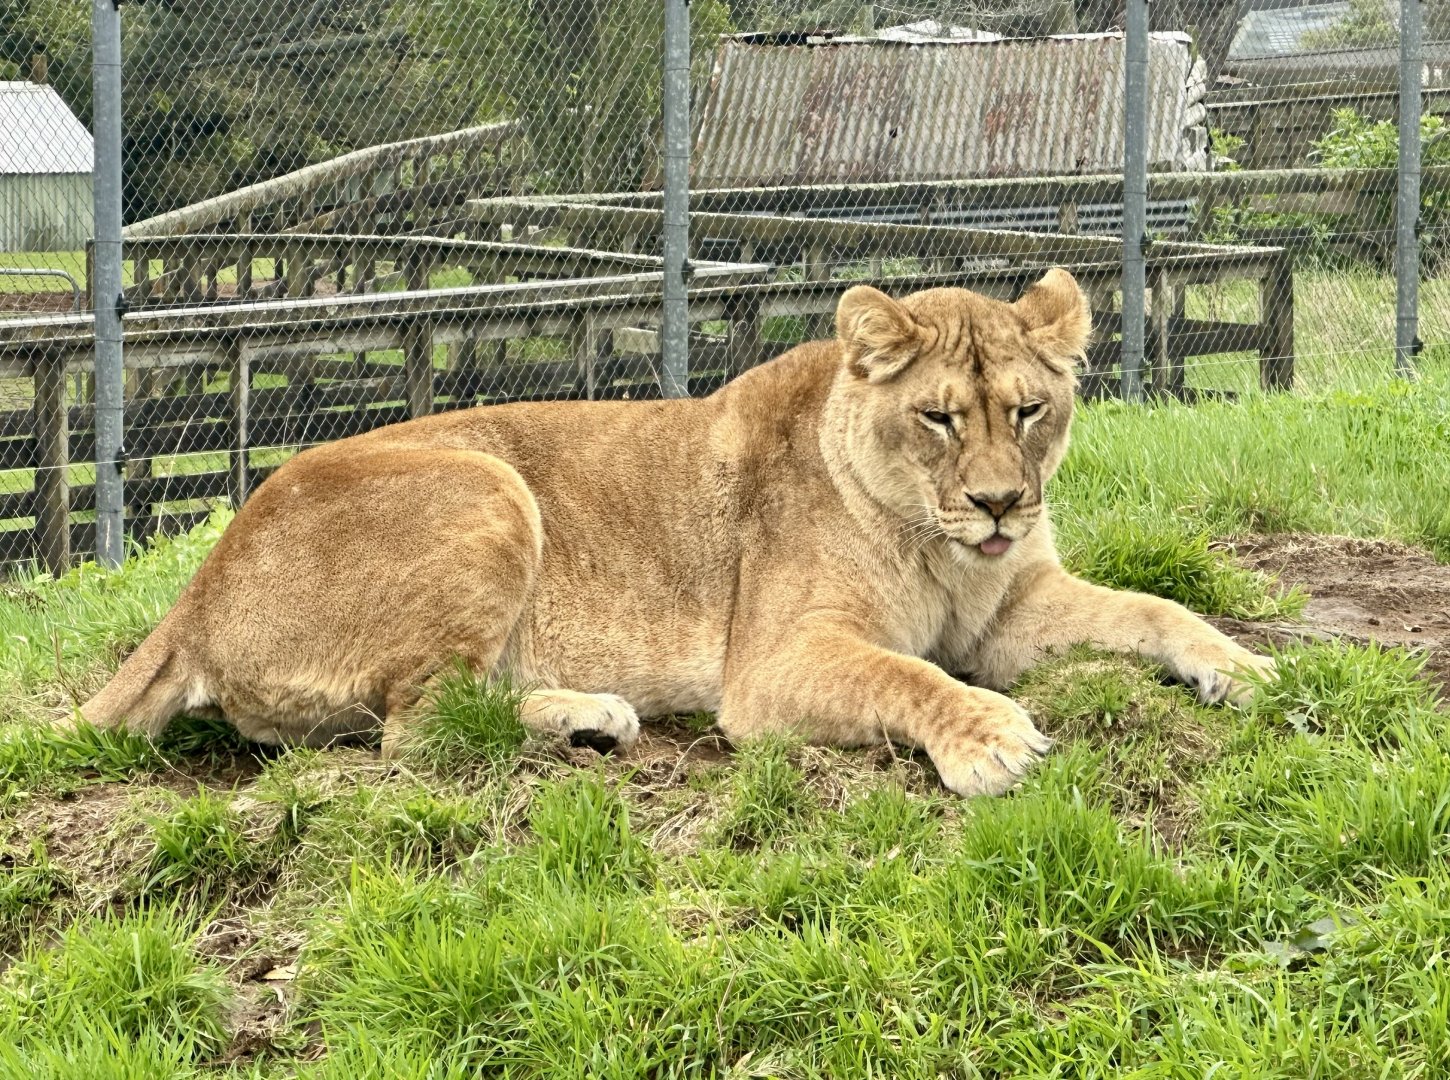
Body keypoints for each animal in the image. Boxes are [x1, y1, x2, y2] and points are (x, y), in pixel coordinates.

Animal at [75, 270, 1273, 796]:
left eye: (1028, 410)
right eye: (938, 418)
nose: (997, 505)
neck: (938, 546)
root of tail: (193, 592)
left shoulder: (1012, 608)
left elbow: (1155, 605)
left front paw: (1246, 667)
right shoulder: (777, 663)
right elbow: (909, 677)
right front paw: (987, 737)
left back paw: (592, 717)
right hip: (486, 484)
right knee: (418, 731)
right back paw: (593, 717)